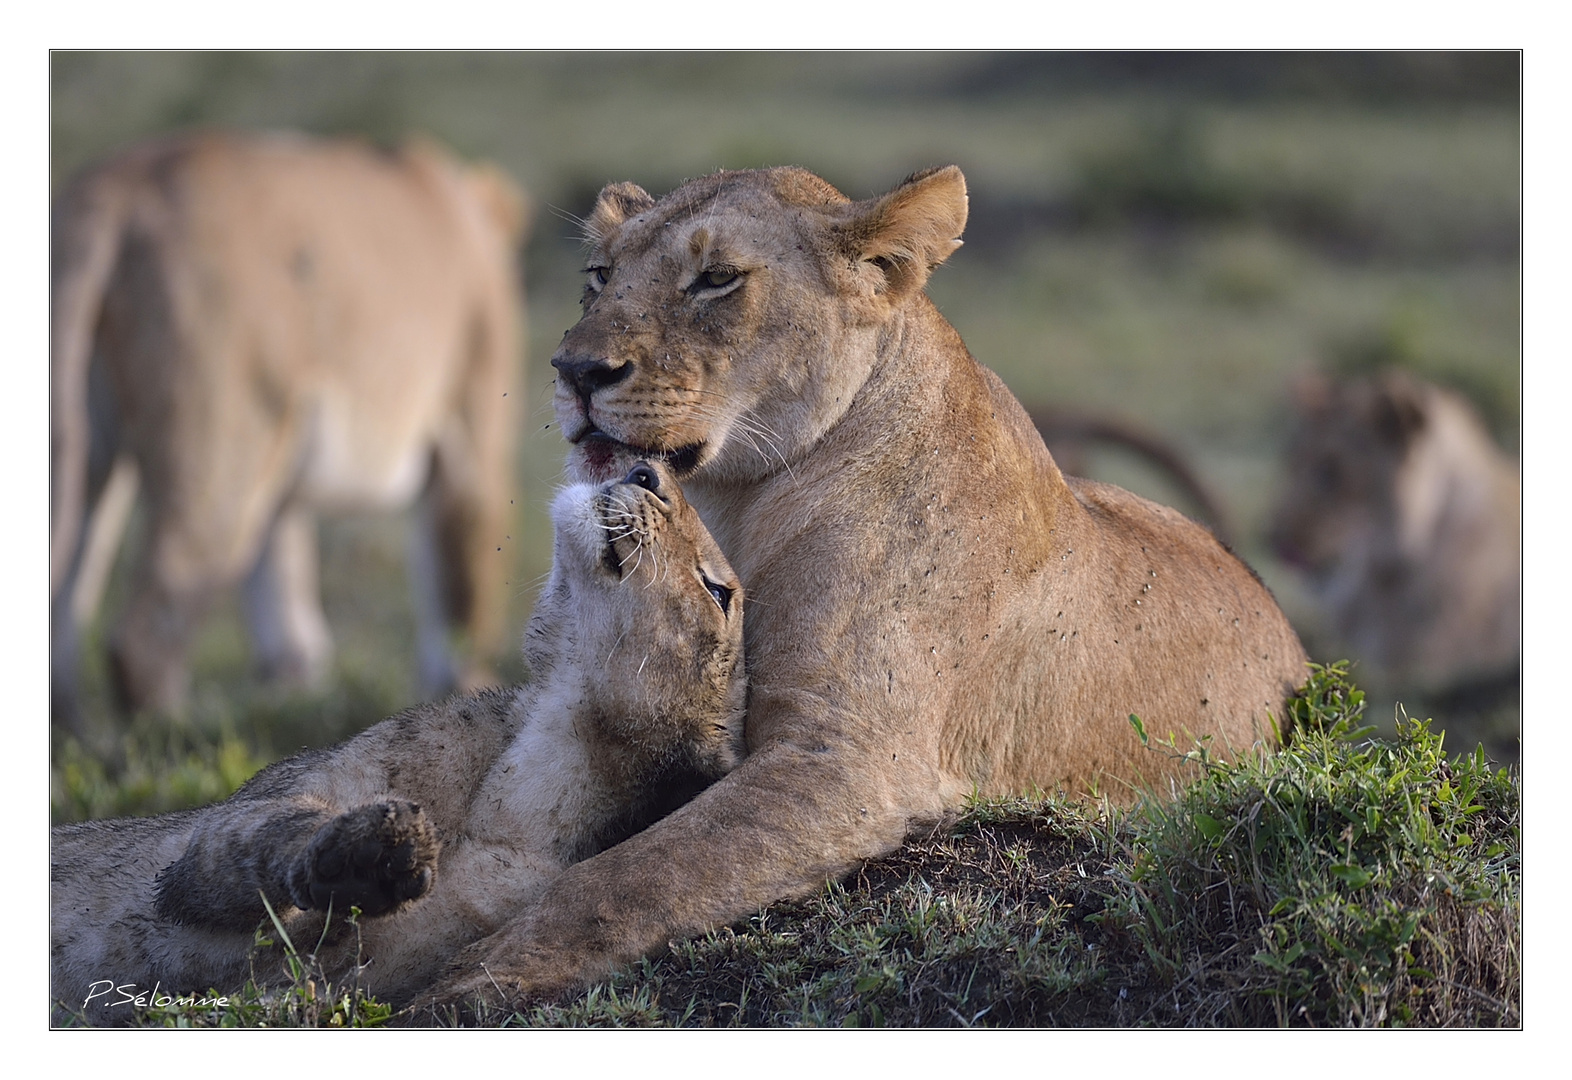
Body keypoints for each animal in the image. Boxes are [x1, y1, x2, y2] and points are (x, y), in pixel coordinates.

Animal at [49, 132, 531, 726]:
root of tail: (117, 191)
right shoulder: (470, 429)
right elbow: (464, 581)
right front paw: (472, 693)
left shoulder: (285, 464)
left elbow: (281, 576)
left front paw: (294, 685)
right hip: (224, 449)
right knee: (143, 637)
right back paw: (178, 728)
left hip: (92, 450)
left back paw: (78, 732)